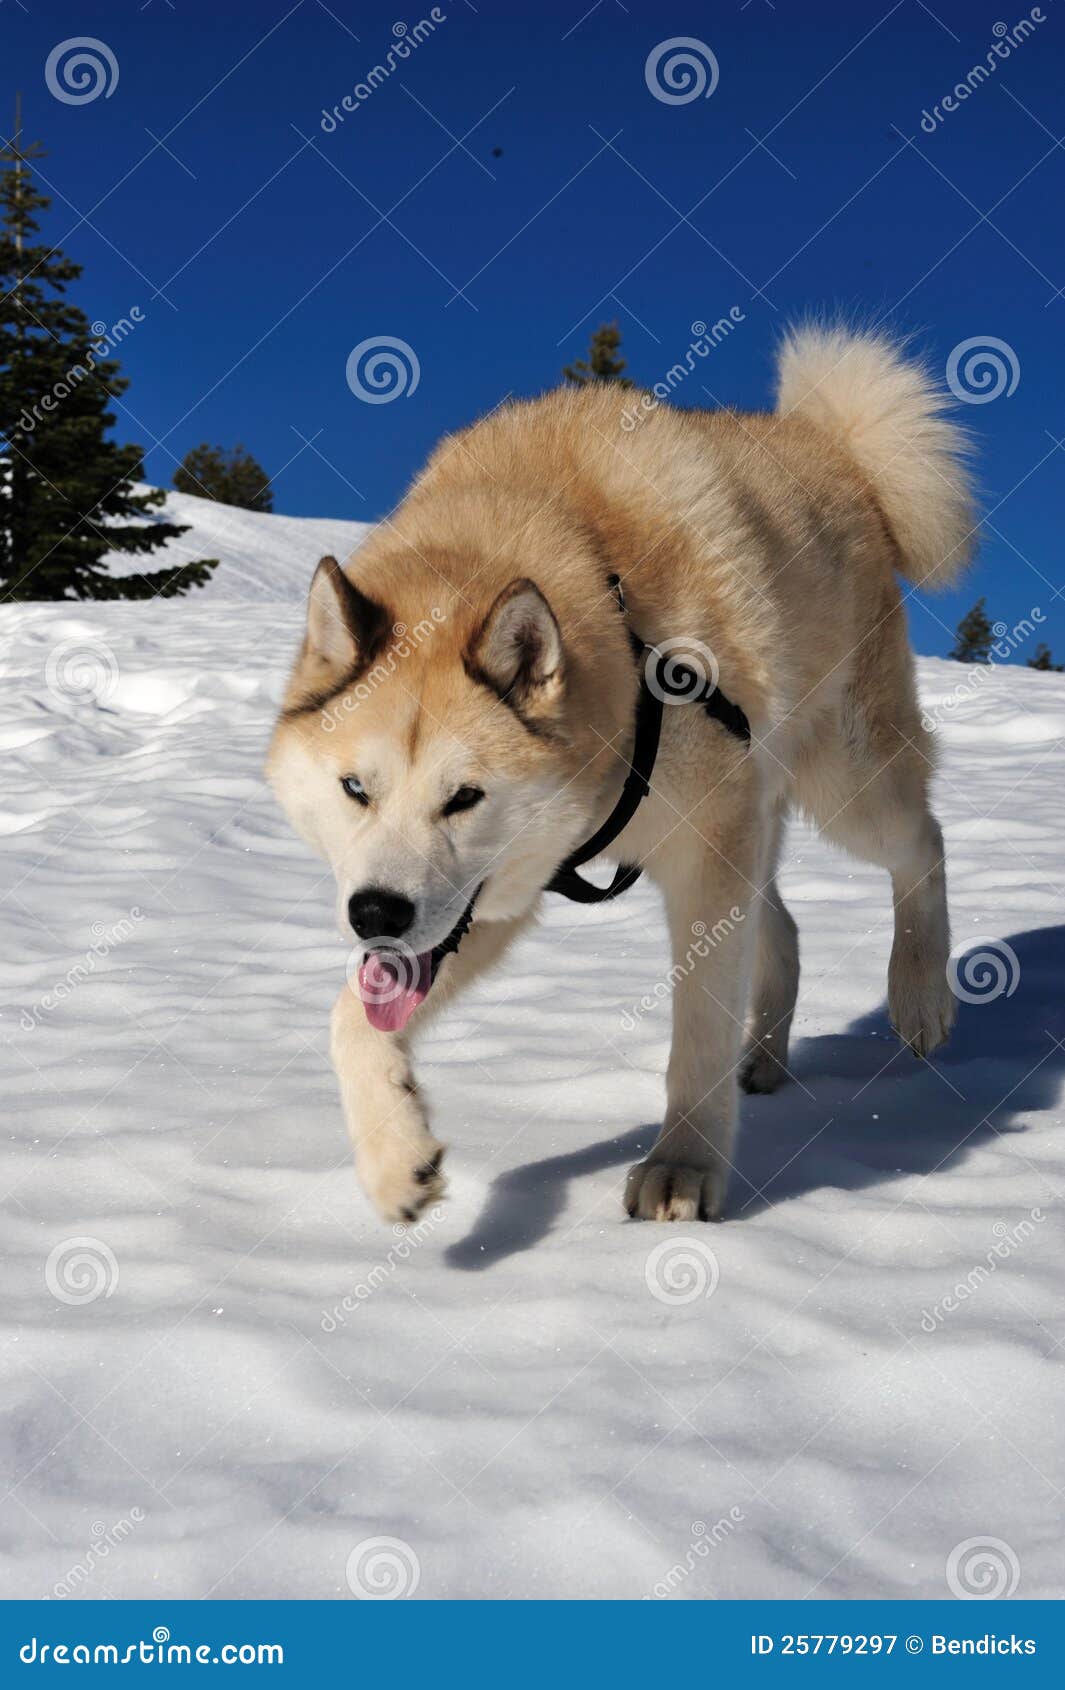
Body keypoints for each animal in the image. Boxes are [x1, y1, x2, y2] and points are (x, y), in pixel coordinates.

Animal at [267, 326, 973, 1230]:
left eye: (464, 798)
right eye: (355, 789)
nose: (376, 915)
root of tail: (834, 448)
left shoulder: (702, 856)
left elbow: (695, 1035)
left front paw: (683, 1165)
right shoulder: (509, 894)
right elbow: (350, 1020)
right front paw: (395, 1160)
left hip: (843, 785)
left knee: (924, 844)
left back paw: (919, 994)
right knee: (782, 929)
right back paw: (765, 1058)